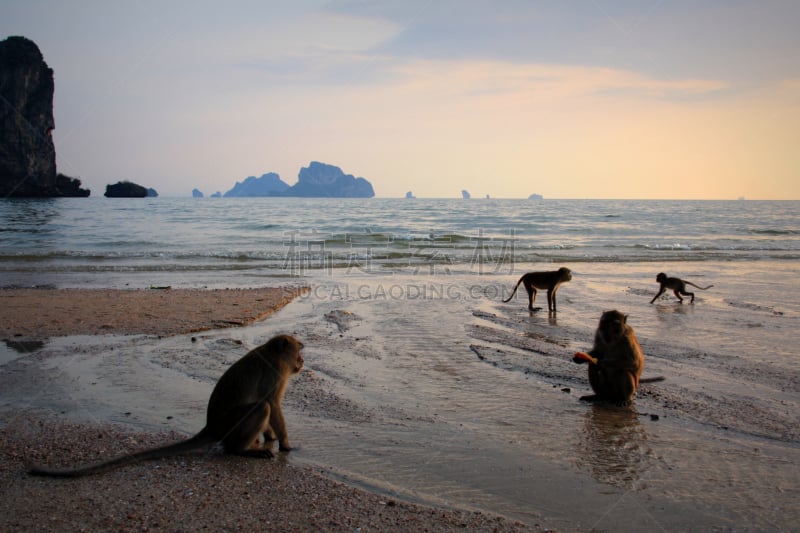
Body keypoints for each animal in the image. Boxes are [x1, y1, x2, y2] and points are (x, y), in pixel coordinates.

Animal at [28, 332, 304, 478]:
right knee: (260, 408)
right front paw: (285, 443)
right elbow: (272, 404)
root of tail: (211, 426)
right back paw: (241, 450)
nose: (302, 362)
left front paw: (271, 437)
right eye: (298, 353)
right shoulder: (275, 374)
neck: (274, 355)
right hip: (230, 425)